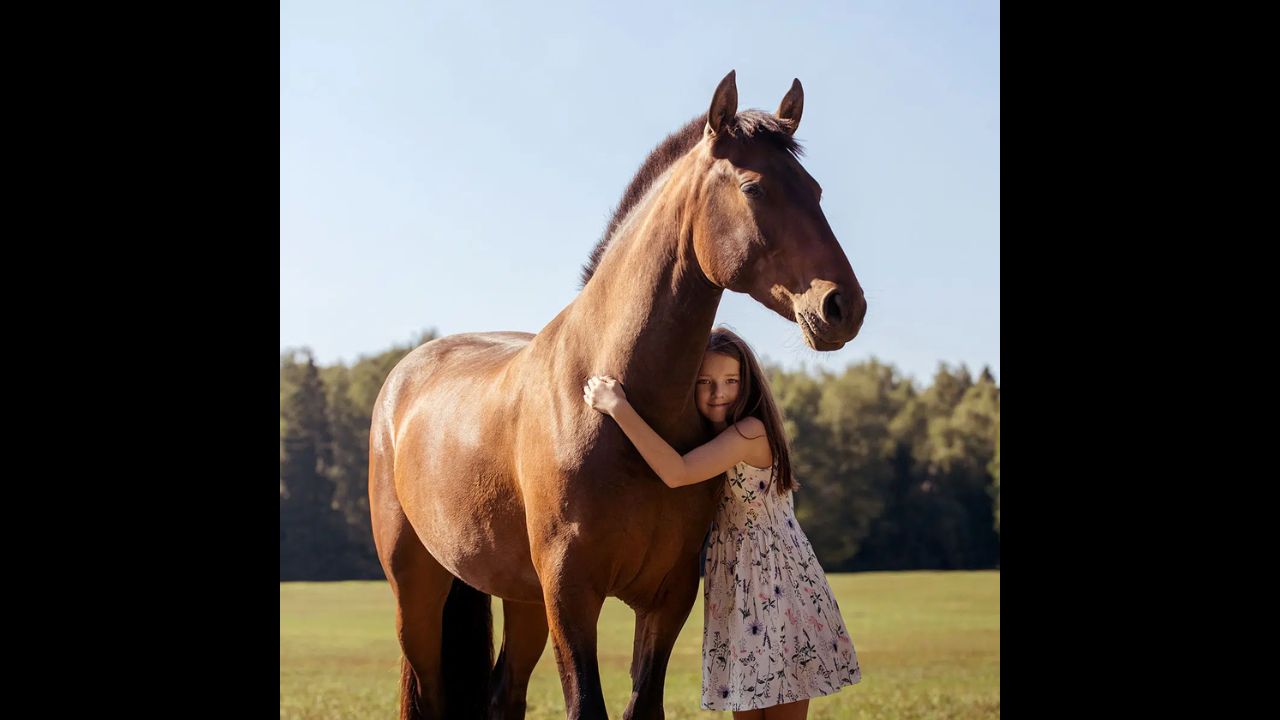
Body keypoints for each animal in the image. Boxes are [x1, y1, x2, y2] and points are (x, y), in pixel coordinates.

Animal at [369, 70, 866, 720]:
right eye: (754, 187)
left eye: (815, 189)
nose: (843, 306)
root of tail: (402, 379)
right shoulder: (571, 594)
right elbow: (588, 705)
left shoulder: (666, 595)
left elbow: (641, 704)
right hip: (419, 590)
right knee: (427, 690)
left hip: (521, 598)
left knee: (505, 693)